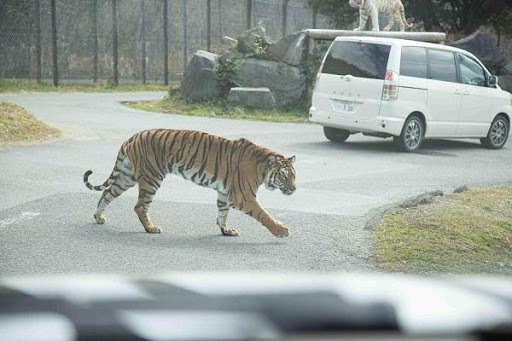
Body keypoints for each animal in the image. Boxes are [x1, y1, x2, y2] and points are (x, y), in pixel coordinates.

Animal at [83, 129, 296, 238]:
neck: (263, 168)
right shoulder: (243, 197)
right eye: (284, 176)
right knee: (139, 206)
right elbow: (264, 214)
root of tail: (133, 136)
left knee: (107, 193)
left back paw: (98, 217)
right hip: (152, 177)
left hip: (127, 176)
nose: (294, 189)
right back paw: (151, 228)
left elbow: (222, 213)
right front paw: (281, 231)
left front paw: (226, 230)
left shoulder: (225, 193)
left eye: (294, 176)